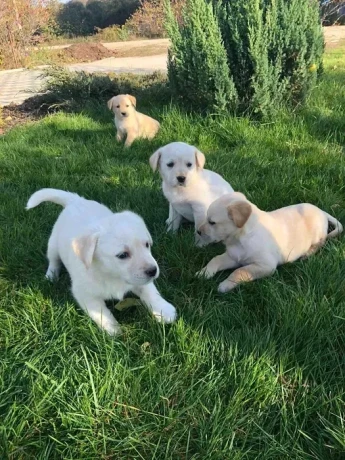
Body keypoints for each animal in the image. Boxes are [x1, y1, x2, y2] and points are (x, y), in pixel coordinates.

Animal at [25, 189, 176, 336]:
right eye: (122, 255)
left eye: (147, 245)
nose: (153, 271)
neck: (110, 274)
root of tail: (76, 200)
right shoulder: (85, 294)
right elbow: (100, 311)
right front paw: (112, 329)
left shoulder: (140, 281)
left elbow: (150, 292)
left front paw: (165, 311)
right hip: (53, 245)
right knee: (53, 261)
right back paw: (51, 276)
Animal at [196, 192, 342, 292]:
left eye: (212, 222)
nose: (198, 231)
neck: (240, 238)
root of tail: (321, 211)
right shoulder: (234, 257)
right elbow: (216, 259)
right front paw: (204, 273)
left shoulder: (265, 265)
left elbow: (240, 271)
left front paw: (225, 284)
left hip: (318, 233)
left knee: (320, 243)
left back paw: (307, 253)